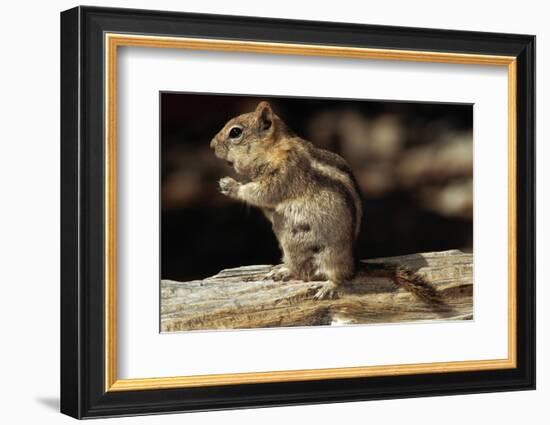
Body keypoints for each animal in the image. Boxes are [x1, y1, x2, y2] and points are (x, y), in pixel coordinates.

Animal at [213, 100, 364, 298]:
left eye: (235, 132)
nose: (211, 146)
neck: (272, 149)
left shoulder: (284, 172)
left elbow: (261, 192)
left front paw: (230, 185)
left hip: (333, 255)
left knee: (341, 275)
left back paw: (329, 286)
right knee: (299, 270)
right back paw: (282, 271)